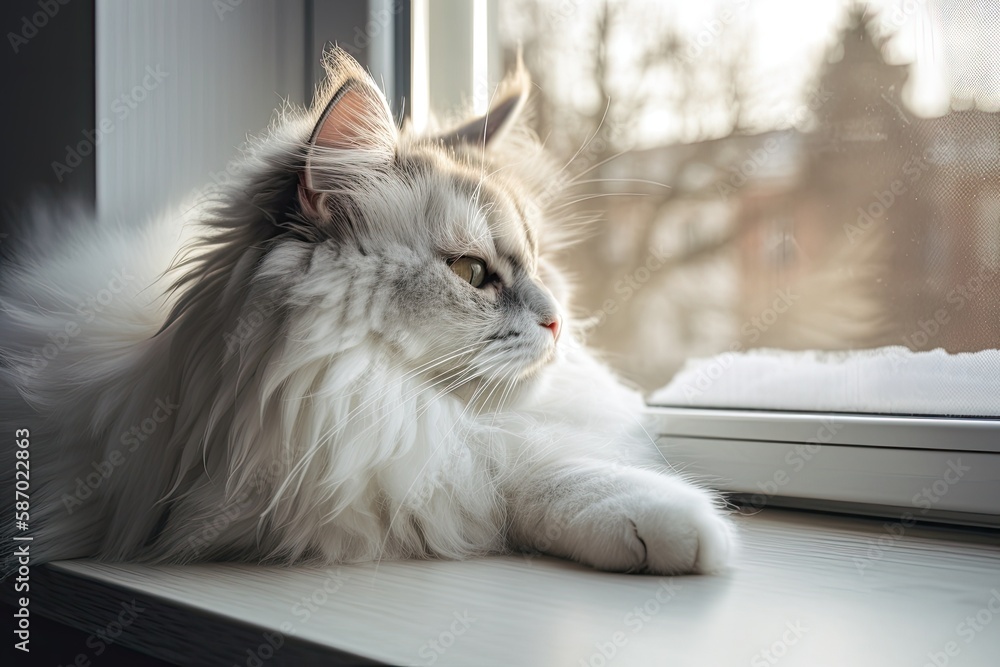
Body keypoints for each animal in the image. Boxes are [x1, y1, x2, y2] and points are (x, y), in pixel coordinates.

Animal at [0, 49, 736, 576]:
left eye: (540, 263)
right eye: (473, 274)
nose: (556, 320)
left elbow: (518, 468)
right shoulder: (313, 482)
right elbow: (511, 475)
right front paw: (688, 529)